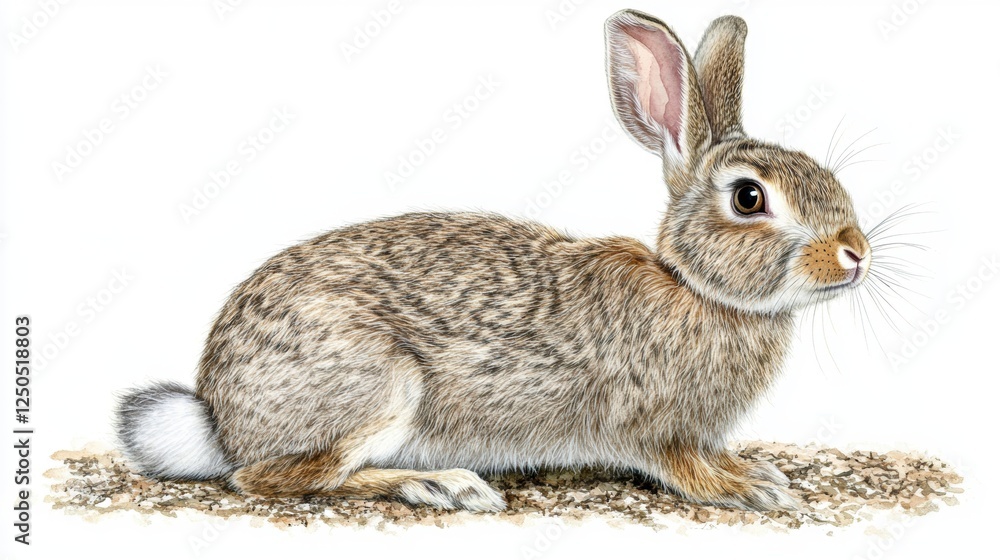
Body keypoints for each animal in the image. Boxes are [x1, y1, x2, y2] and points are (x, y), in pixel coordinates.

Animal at [116, 9, 872, 513]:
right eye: (749, 198)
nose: (855, 255)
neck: (697, 288)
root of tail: (219, 419)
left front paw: (757, 471)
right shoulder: (645, 423)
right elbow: (681, 466)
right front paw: (749, 486)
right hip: (378, 385)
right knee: (273, 478)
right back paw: (438, 483)